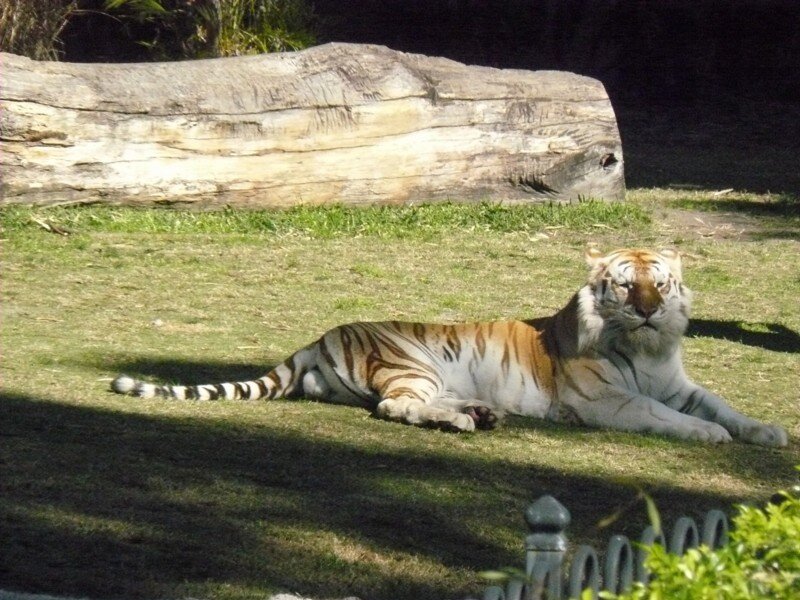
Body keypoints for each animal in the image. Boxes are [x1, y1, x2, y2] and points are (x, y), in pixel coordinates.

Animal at [112, 246, 788, 447]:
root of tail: (320, 336)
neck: (647, 351)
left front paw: (767, 431)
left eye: (661, 283)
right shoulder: (609, 401)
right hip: (416, 364)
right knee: (396, 407)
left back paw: (479, 414)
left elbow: (722, 404)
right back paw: (466, 422)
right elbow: (664, 416)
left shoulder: (681, 385)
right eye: (625, 285)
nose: (648, 309)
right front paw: (711, 437)